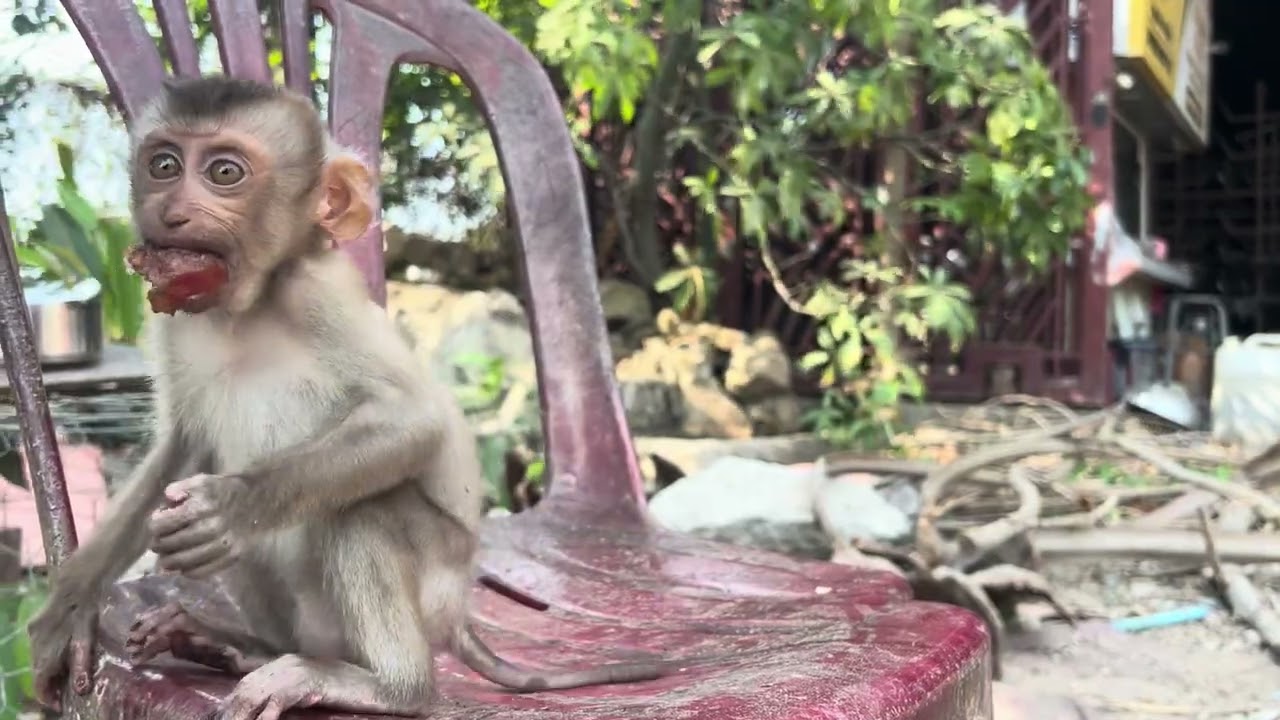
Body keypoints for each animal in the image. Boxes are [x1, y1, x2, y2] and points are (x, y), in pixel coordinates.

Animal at [25, 75, 667, 720]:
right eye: (163, 165)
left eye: (224, 173)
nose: (171, 212)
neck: (245, 308)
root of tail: (458, 618)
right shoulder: (173, 321)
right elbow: (182, 450)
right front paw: (71, 611)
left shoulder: (317, 292)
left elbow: (412, 421)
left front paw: (229, 506)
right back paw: (241, 648)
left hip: (436, 580)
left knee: (363, 507)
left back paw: (391, 687)